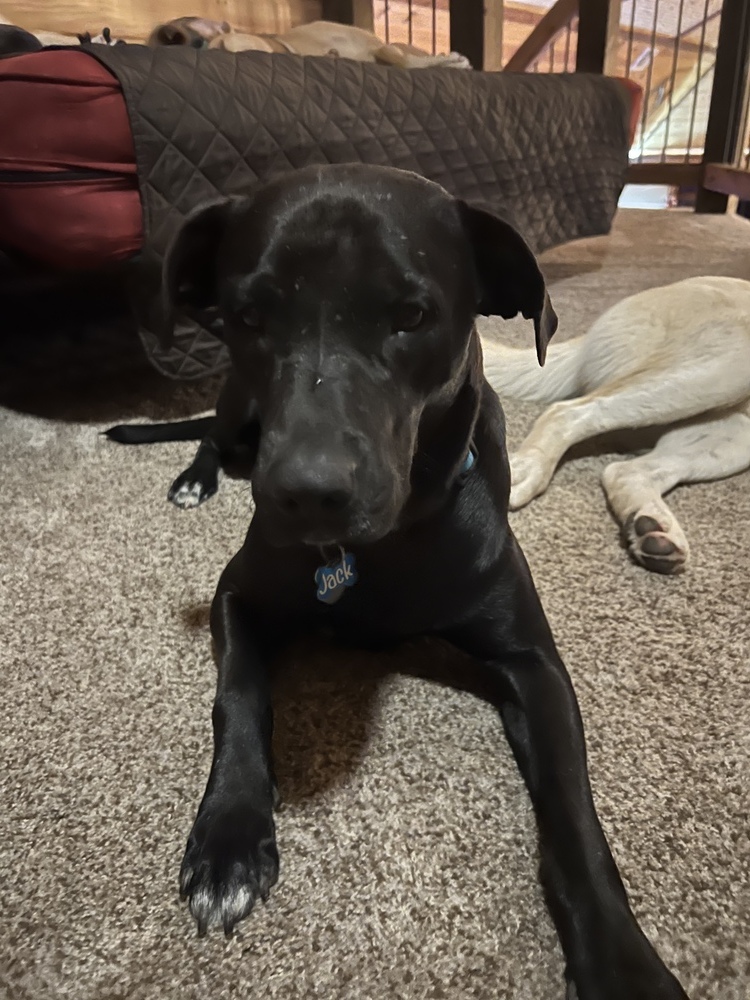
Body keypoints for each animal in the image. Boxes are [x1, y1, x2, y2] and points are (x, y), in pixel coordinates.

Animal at [119, 168, 692, 996]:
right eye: (249, 317)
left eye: (412, 316)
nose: (306, 494)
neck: (377, 550)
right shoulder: (240, 596)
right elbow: (239, 698)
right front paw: (228, 840)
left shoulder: (533, 663)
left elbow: (576, 815)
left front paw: (624, 961)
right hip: (234, 410)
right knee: (209, 437)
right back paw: (195, 479)